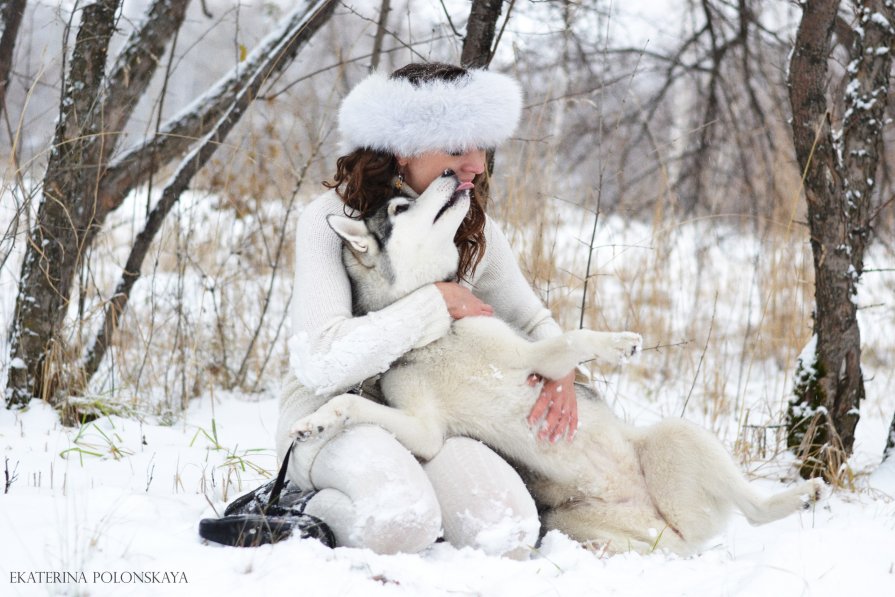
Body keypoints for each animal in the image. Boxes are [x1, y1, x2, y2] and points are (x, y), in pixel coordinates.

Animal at [288, 171, 824, 556]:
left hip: (679, 436)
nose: (449, 172)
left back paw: (801, 497)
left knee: (752, 509)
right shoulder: (425, 431)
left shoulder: (530, 357)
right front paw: (319, 421)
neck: (441, 334)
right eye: (401, 207)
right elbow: (355, 407)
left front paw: (618, 344)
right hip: (583, 525)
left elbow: (574, 337)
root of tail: (666, 525)